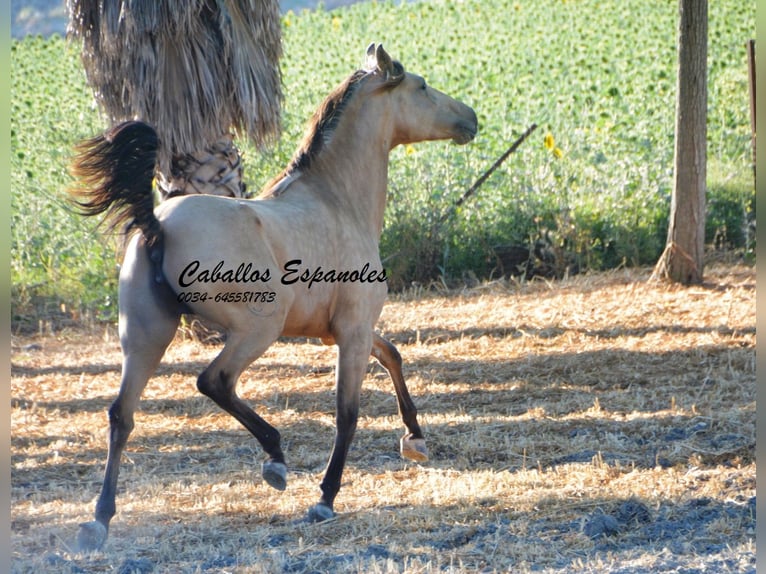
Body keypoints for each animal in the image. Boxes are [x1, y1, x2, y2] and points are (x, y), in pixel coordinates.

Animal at [72, 42, 480, 552]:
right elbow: (348, 411)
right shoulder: (352, 330)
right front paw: (325, 499)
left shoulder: (344, 330)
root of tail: (157, 224)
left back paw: (98, 522)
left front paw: (416, 441)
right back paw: (275, 460)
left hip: (146, 335)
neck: (335, 201)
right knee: (214, 381)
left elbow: (394, 355)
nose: (471, 118)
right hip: (256, 328)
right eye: (422, 86)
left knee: (121, 416)